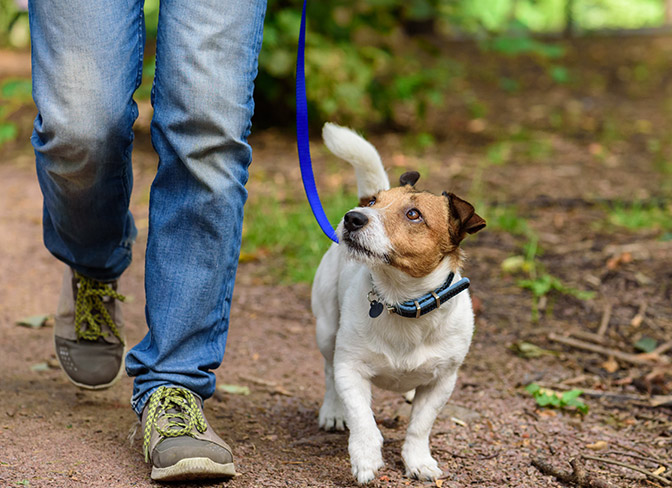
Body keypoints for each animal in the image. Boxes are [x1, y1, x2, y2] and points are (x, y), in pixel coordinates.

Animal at [312, 123, 486, 484]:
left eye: (413, 214)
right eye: (374, 202)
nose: (352, 217)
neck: (400, 301)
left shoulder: (442, 382)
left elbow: (420, 425)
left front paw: (418, 461)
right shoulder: (350, 369)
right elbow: (362, 418)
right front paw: (365, 457)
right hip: (326, 329)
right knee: (328, 371)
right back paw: (333, 410)